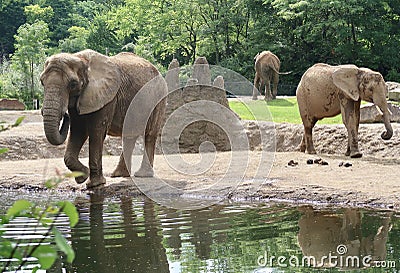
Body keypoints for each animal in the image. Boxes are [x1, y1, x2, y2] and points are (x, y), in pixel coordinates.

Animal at [39, 49, 167, 187]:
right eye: (42, 82)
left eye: (73, 84)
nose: (65, 115)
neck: (80, 58)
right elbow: (78, 130)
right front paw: (82, 177)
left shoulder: (107, 96)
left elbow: (96, 131)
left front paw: (94, 184)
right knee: (129, 136)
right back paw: (119, 175)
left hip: (158, 98)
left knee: (150, 134)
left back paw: (142, 174)